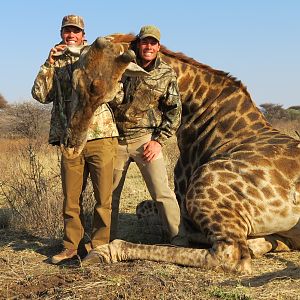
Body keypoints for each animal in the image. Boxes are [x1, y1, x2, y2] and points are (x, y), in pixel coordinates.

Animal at [81, 34, 300, 274]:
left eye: (95, 85)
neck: (201, 110)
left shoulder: (182, 197)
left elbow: (149, 211)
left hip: (204, 183)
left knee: (230, 254)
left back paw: (104, 251)